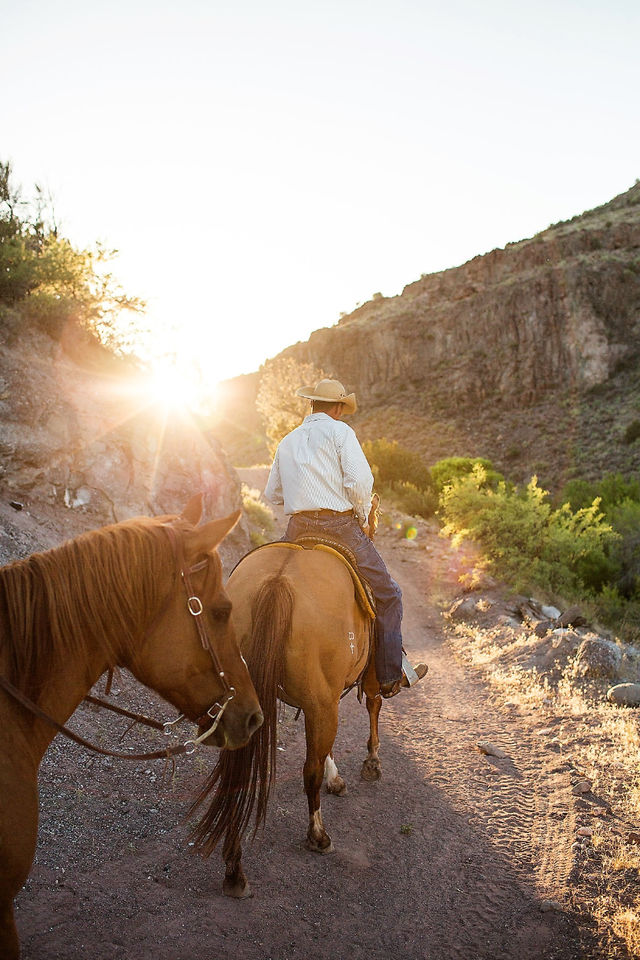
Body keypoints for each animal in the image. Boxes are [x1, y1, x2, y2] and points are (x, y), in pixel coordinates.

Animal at [188, 540, 382, 900]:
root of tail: (277, 582)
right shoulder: (335, 695)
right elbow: (373, 705)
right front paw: (371, 763)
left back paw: (235, 871)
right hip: (321, 701)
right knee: (310, 771)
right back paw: (318, 837)